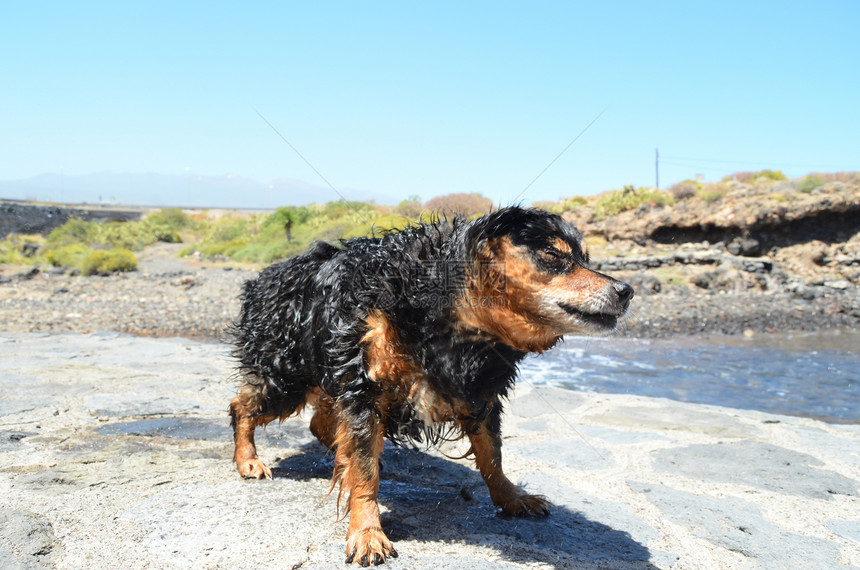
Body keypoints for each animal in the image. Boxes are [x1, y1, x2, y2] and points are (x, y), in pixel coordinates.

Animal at [228, 205, 632, 564]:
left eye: (584, 258)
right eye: (553, 256)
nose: (626, 290)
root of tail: (264, 276)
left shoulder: (478, 391)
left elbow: (492, 454)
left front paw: (511, 497)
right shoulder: (364, 388)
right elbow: (365, 473)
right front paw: (367, 532)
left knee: (320, 423)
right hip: (287, 375)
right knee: (242, 407)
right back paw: (249, 460)